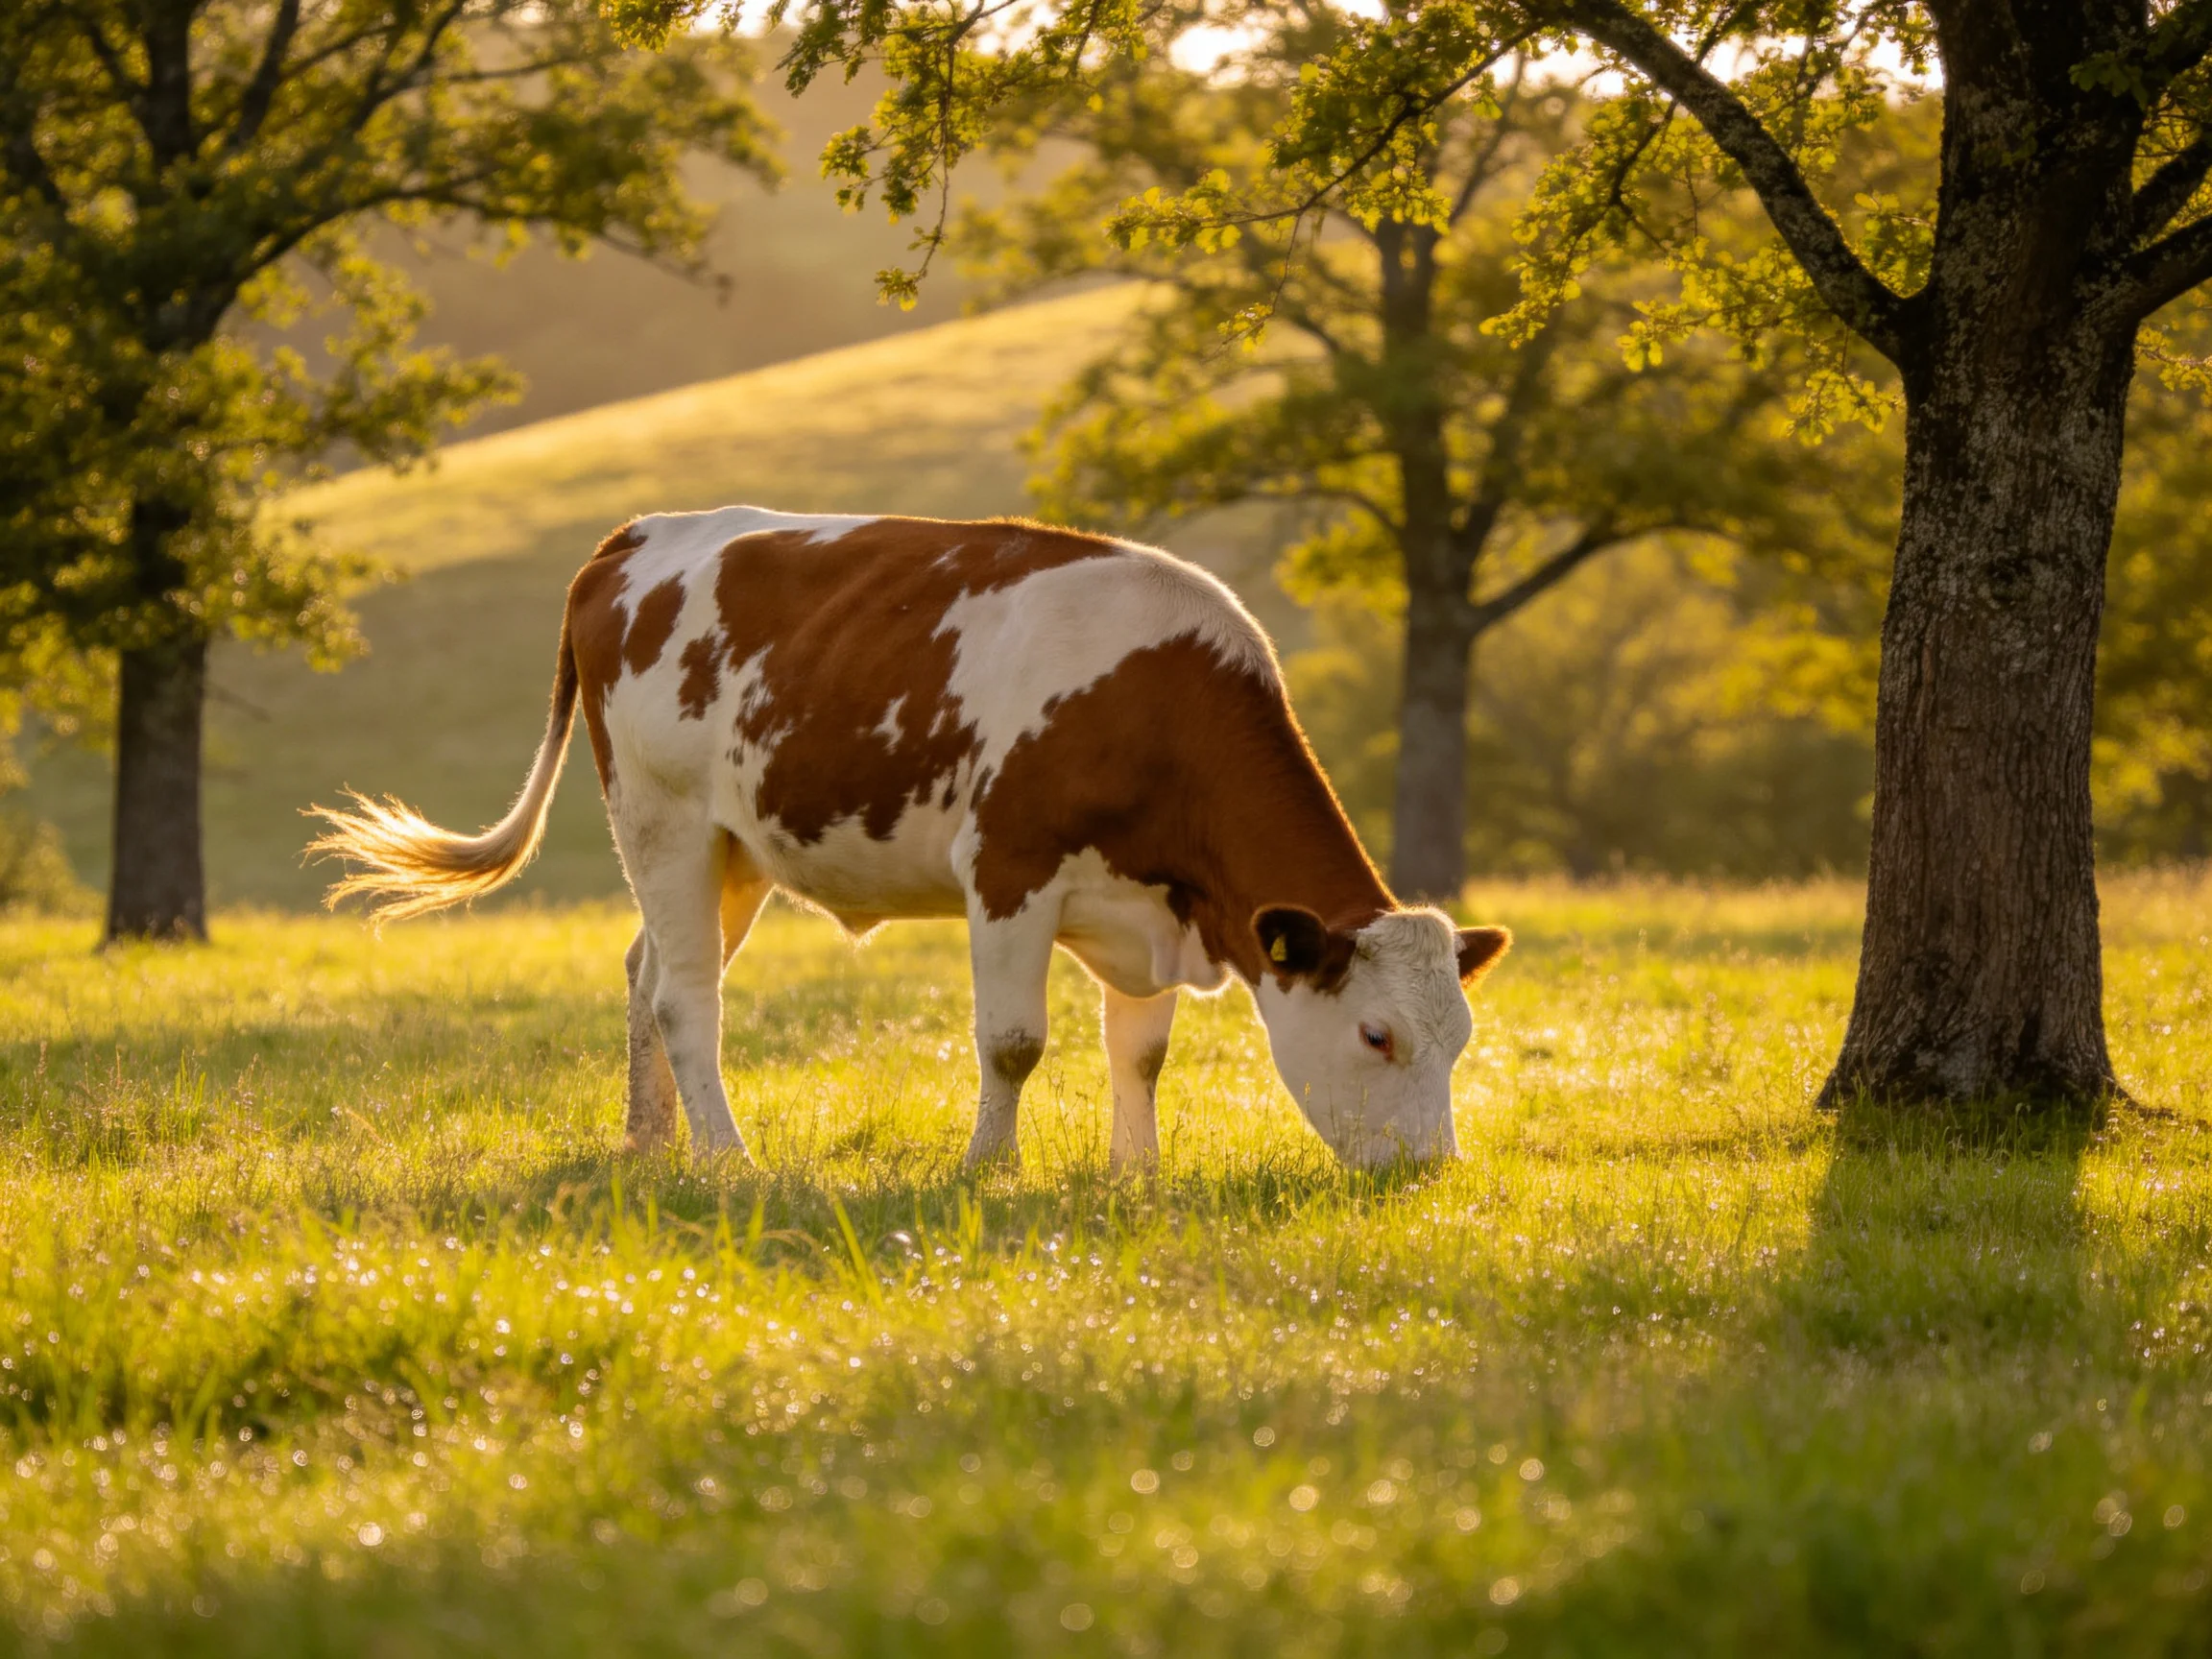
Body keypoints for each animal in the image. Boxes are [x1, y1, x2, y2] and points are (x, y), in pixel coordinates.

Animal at [310, 509, 1510, 1171]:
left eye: (1458, 1038)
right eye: (1377, 1037)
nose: (1427, 1172)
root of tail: (634, 539)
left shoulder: (1149, 905)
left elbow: (1141, 1051)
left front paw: (1136, 1174)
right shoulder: (1010, 872)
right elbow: (1014, 1043)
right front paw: (988, 1167)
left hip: (734, 850)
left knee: (647, 967)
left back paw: (654, 1143)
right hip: (660, 817)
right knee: (685, 997)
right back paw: (728, 1156)